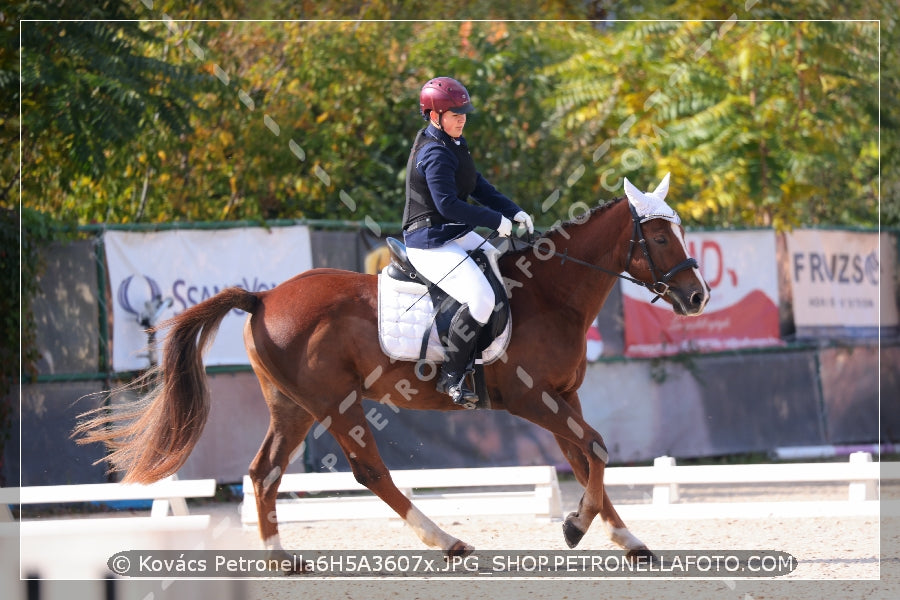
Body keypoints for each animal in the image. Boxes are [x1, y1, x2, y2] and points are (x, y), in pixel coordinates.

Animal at [75, 172, 712, 568]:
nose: (697, 297)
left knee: (264, 472)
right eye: (659, 236)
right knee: (368, 472)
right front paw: (577, 528)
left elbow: (585, 458)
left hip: (292, 407)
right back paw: (447, 541)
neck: (551, 294)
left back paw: (282, 559)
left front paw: (626, 539)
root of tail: (263, 297)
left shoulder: (563, 397)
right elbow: (595, 450)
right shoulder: (532, 399)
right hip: (335, 403)